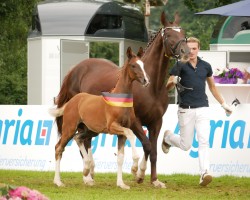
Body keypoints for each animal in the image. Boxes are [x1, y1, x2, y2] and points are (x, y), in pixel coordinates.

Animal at [49, 47, 149, 189]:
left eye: (143, 65)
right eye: (133, 65)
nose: (146, 81)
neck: (120, 100)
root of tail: (70, 102)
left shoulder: (121, 133)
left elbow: (120, 157)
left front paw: (121, 184)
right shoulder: (113, 127)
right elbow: (130, 134)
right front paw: (135, 167)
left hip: (90, 130)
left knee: (78, 139)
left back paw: (86, 169)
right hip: (69, 128)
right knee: (59, 148)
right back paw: (58, 181)